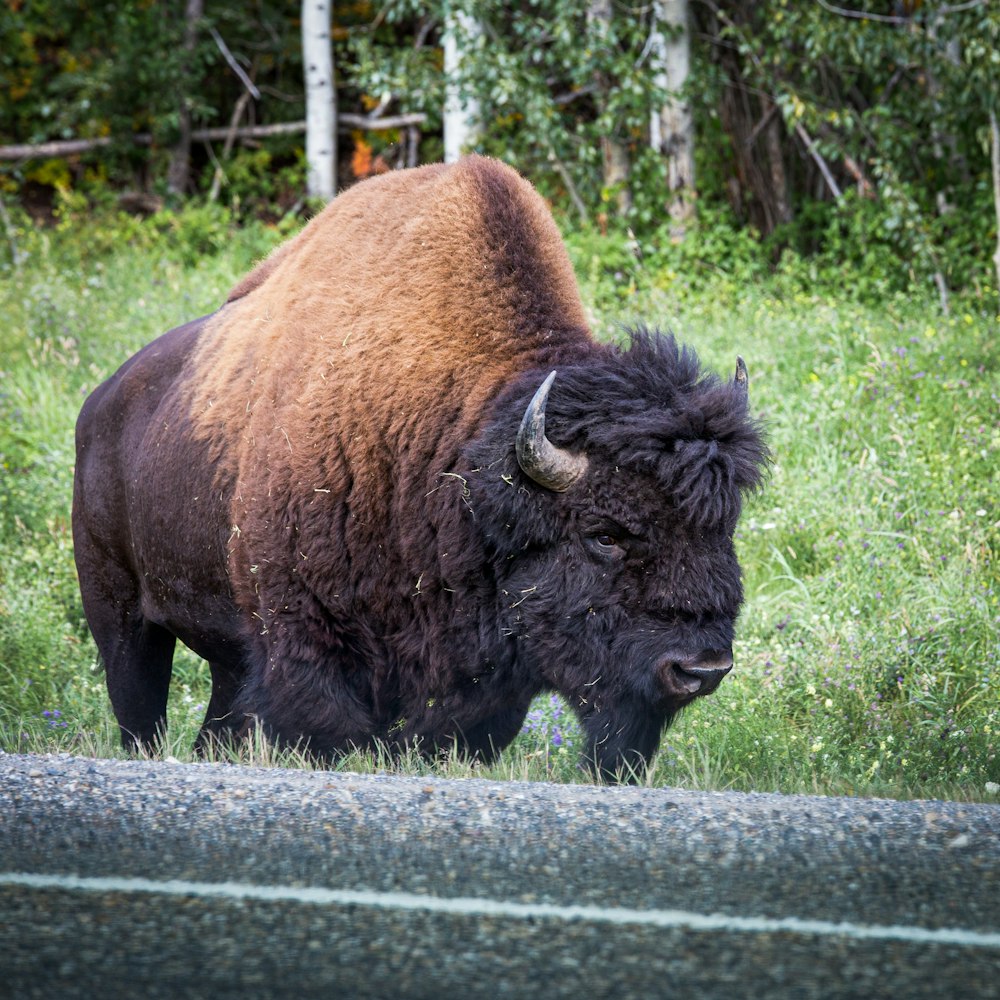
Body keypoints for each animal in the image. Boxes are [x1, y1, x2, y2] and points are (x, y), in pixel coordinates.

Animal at [74, 154, 768, 780]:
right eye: (603, 534)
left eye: (723, 526)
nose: (700, 669)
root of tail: (100, 404)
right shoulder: (304, 647)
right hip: (120, 615)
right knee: (138, 711)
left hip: (220, 655)